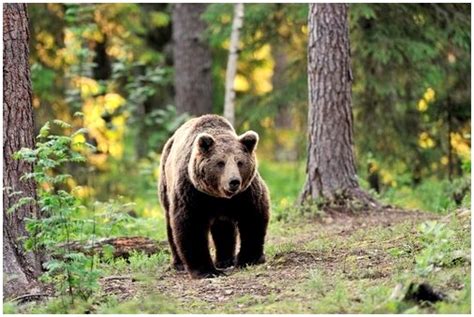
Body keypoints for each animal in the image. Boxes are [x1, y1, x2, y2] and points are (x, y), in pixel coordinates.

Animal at [159, 113, 270, 276]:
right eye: (220, 162)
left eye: (240, 162)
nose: (234, 181)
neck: (218, 196)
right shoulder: (192, 192)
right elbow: (191, 226)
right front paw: (206, 270)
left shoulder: (245, 193)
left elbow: (253, 217)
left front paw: (249, 259)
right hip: (166, 183)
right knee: (170, 224)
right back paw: (178, 263)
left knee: (224, 228)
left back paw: (225, 260)